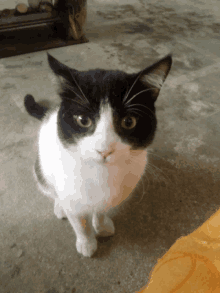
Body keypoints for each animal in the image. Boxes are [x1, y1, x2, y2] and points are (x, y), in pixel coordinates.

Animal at [24, 52, 172, 256]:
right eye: (83, 120)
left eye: (129, 122)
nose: (104, 149)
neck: (101, 173)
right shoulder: (71, 194)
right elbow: (80, 223)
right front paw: (86, 243)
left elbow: (101, 210)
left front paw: (101, 226)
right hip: (42, 167)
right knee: (50, 188)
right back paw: (59, 206)